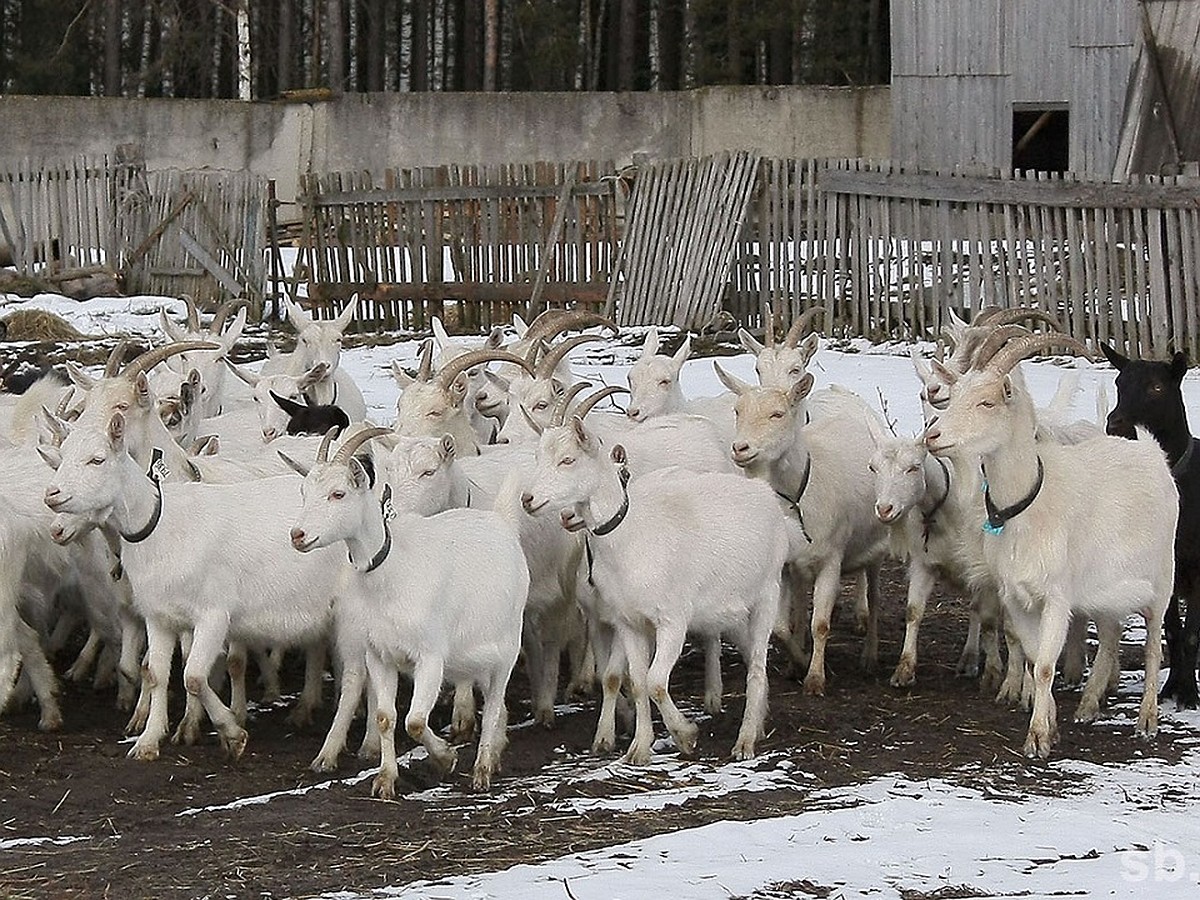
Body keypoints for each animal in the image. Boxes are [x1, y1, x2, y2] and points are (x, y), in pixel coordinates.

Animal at [1104, 340, 1200, 710]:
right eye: (1119, 382)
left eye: (1157, 388)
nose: (1115, 424)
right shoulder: (1163, 569)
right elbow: (1172, 630)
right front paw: (1172, 688)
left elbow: (1191, 635)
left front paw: (1190, 695)